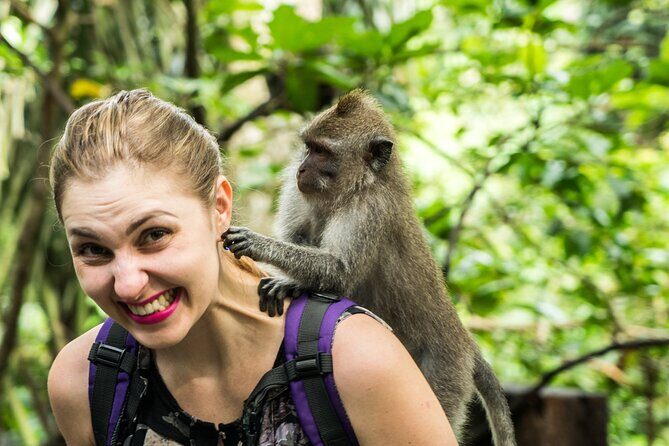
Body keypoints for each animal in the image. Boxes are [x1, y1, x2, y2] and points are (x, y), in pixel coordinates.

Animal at [223, 89, 516, 446]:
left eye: (322, 151)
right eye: (308, 147)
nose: (301, 169)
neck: (359, 185)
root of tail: (464, 341)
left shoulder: (368, 210)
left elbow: (339, 270)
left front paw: (258, 244)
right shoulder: (298, 192)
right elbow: (301, 239)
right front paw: (290, 282)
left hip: (443, 373)